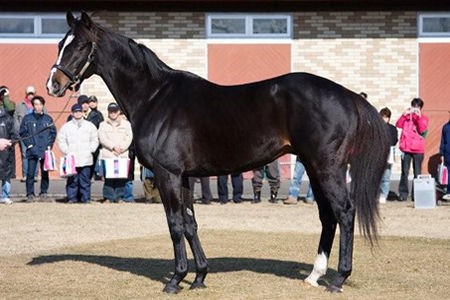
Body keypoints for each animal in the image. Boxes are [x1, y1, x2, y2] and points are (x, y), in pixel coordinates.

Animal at [46, 11, 390, 292]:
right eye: (60, 43)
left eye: (79, 45)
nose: (53, 84)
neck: (155, 96)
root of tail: (348, 95)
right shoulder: (184, 177)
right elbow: (190, 223)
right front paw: (199, 276)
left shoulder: (168, 174)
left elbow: (175, 224)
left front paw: (175, 279)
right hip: (314, 166)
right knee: (327, 216)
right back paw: (315, 275)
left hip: (326, 167)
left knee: (344, 212)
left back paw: (338, 278)